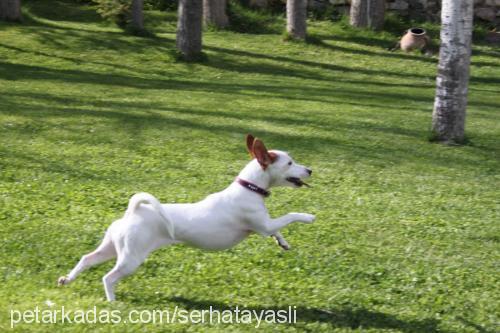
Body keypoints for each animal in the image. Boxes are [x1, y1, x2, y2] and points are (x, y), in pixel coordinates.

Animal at [58, 134, 314, 300]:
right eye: (290, 163)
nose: (310, 170)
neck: (249, 187)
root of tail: (134, 211)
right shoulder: (263, 225)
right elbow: (288, 217)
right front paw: (308, 216)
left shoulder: (266, 225)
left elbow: (278, 231)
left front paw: (283, 243)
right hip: (131, 258)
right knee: (108, 278)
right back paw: (113, 302)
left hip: (113, 248)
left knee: (87, 259)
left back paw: (67, 279)